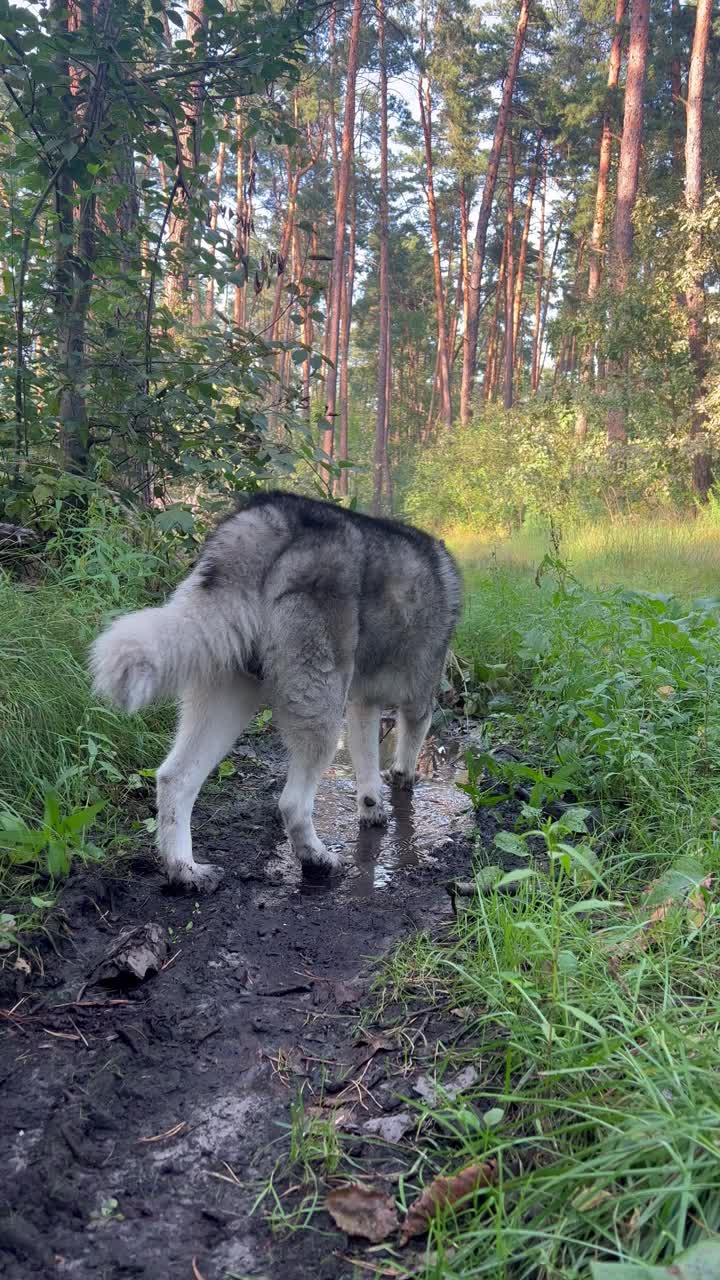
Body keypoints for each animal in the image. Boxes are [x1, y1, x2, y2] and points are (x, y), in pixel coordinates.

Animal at [89, 488, 458, 890]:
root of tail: (267, 521)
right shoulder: (419, 699)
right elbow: (406, 753)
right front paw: (400, 782)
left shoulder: (362, 705)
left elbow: (367, 765)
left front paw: (372, 806)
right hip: (320, 715)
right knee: (292, 804)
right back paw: (317, 859)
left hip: (226, 706)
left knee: (175, 779)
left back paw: (186, 870)